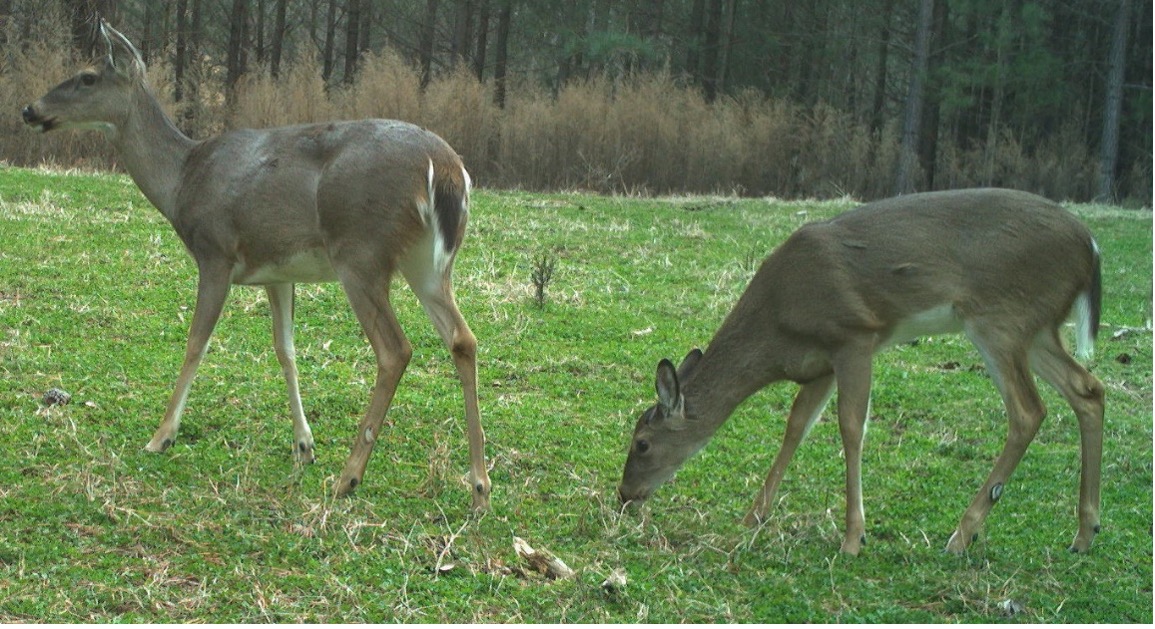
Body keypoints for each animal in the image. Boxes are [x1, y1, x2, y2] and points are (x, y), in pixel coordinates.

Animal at [22, 22, 491, 509]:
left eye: (88, 76)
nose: (28, 109)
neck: (181, 180)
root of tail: (448, 169)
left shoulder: (215, 252)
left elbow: (196, 343)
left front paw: (161, 436)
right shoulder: (277, 272)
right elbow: (286, 349)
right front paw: (304, 445)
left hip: (360, 251)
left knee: (395, 349)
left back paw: (349, 476)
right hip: (428, 263)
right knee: (463, 339)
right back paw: (479, 485)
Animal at [617, 188, 1104, 555]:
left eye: (642, 443)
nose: (625, 495)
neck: (778, 325)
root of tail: (1091, 245)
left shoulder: (854, 335)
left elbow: (851, 427)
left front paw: (854, 537)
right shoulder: (818, 363)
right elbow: (796, 426)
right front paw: (754, 514)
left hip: (999, 318)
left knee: (1028, 410)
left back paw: (962, 534)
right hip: (1036, 328)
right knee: (1088, 388)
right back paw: (1084, 533)